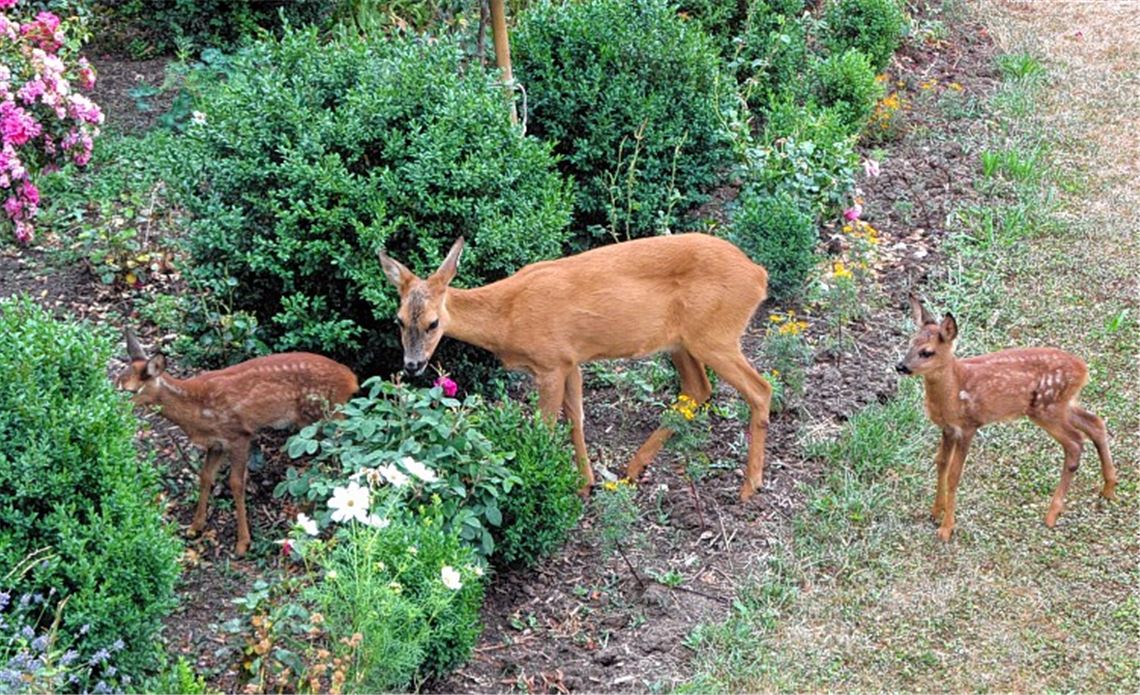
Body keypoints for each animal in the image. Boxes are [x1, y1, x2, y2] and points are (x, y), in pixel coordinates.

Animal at [115, 330, 358, 556]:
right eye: (116, 382)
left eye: (130, 391)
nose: (112, 408)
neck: (196, 412)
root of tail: (351, 379)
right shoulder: (216, 443)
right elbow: (205, 476)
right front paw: (195, 527)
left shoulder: (239, 435)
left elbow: (236, 483)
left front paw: (242, 543)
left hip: (329, 415)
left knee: (343, 451)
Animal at [377, 234, 774, 500]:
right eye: (399, 320)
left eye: (432, 323)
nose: (412, 365)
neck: (507, 317)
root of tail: (758, 275)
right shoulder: (571, 360)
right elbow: (577, 419)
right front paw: (586, 483)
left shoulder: (551, 361)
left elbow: (547, 425)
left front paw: (542, 478)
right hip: (682, 342)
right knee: (698, 389)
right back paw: (633, 468)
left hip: (715, 335)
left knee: (760, 388)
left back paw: (750, 485)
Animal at [897, 296, 1117, 542]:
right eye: (910, 344)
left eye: (927, 352)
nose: (900, 366)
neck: (954, 390)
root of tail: (1084, 370)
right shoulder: (948, 429)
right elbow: (941, 464)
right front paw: (935, 512)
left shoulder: (969, 425)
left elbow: (954, 474)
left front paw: (946, 529)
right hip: (1062, 405)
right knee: (1095, 423)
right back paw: (1108, 489)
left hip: (1046, 408)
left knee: (1075, 443)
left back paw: (1052, 514)